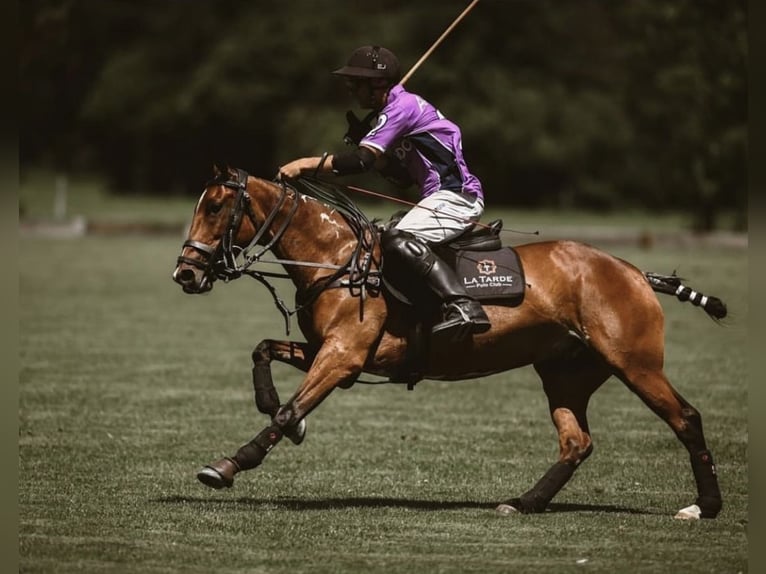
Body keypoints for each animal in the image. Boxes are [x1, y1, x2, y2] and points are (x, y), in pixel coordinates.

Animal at [172, 165, 727, 520]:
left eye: (216, 207)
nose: (184, 274)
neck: (337, 259)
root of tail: (636, 272)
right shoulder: (335, 351)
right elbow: (263, 350)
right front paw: (284, 418)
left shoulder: (345, 356)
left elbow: (290, 407)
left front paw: (228, 465)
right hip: (566, 372)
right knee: (577, 442)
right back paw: (523, 503)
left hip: (635, 361)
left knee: (686, 418)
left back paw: (704, 506)